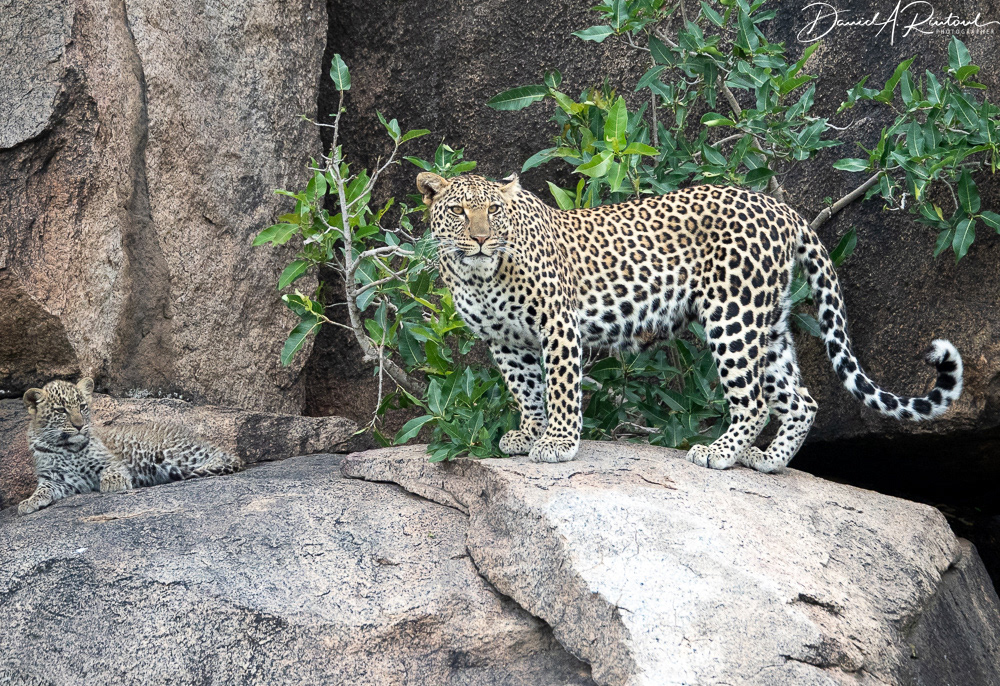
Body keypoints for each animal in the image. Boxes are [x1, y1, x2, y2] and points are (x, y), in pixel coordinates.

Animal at [17, 378, 242, 515]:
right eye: (61, 410)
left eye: (82, 407)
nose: (79, 426)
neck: (66, 447)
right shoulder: (57, 479)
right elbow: (43, 489)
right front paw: (29, 502)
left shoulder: (109, 459)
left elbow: (112, 469)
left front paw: (114, 483)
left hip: (170, 454)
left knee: (221, 456)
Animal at [415, 172, 963, 471]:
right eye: (459, 211)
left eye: (494, 211)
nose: (482, 239)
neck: (477, 275)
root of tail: (782, 208)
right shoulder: (505, 341)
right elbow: (526, 390)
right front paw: (529, 434)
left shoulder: (557, 325)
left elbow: (562, 388)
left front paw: (558, 443)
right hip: (769, 323)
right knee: (800, 400)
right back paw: (767, 461)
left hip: (732, 314)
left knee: (754, 402)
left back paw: (718, 452)